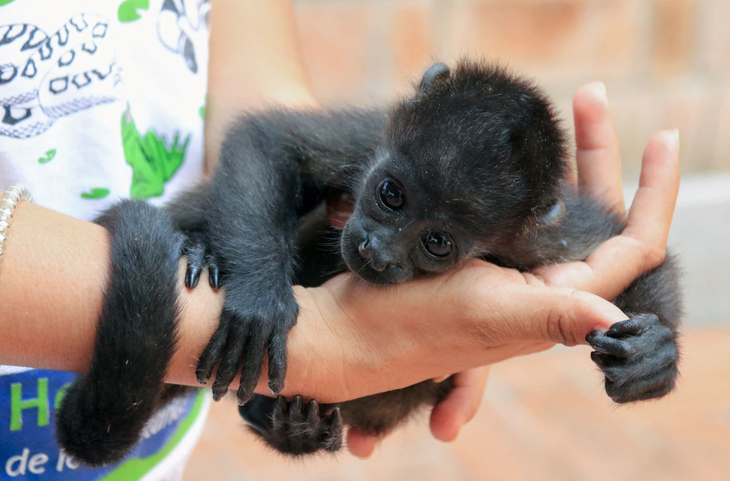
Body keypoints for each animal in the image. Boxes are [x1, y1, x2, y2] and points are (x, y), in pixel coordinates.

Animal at [54, 62, 680, 464]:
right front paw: (259, 298)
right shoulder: (368, 139)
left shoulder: (543, 234)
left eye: (437, 243)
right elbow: (269, 140)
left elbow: (634, 252)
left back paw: (292, 429)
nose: (375, 251)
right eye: (390, 194)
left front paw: (655, 355)